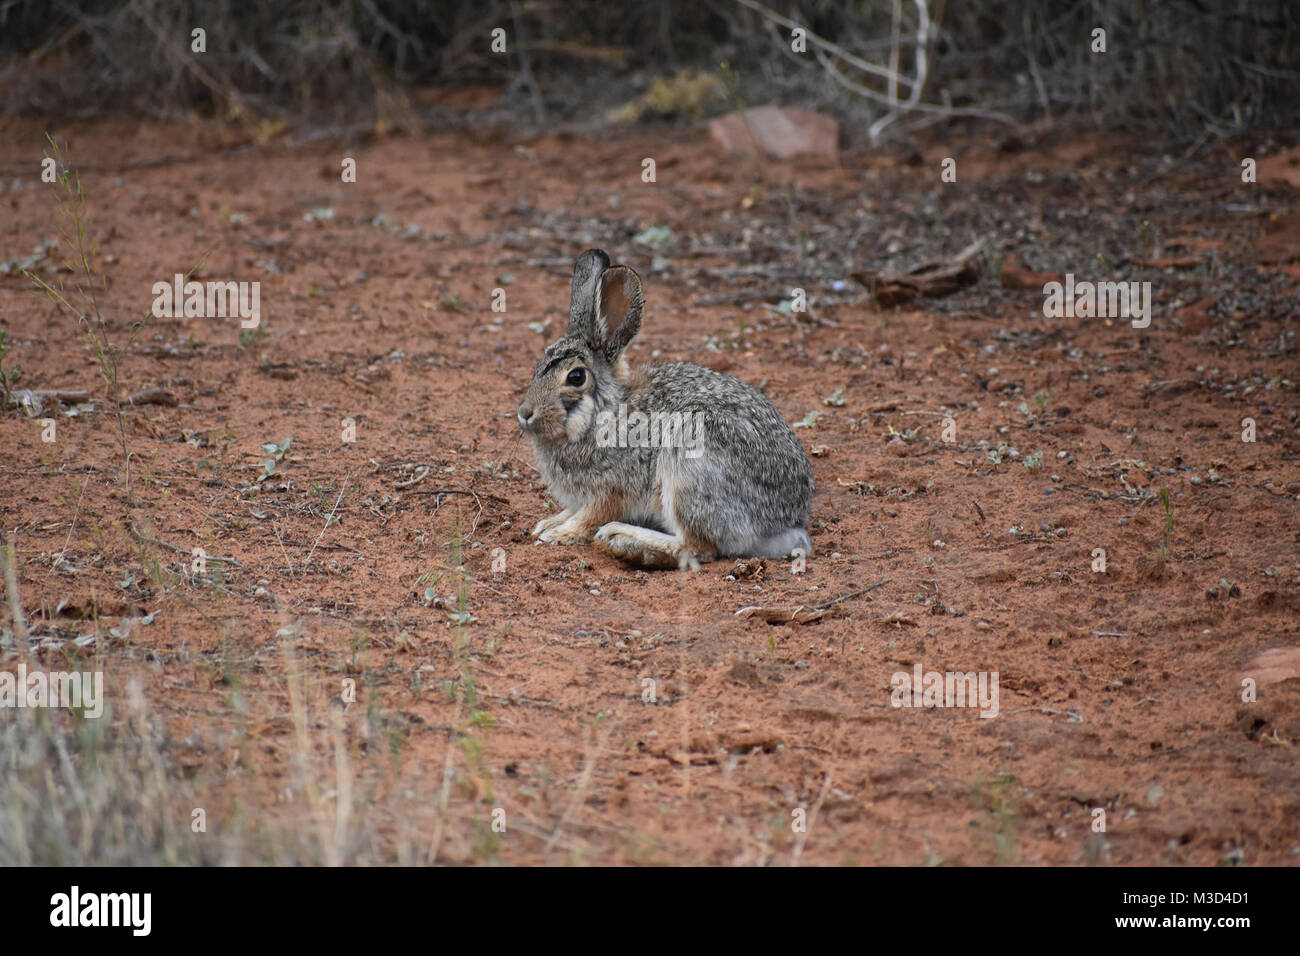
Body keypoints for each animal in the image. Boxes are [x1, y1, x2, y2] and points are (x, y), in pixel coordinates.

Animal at [516, 248, 813, 569]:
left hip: (687, 468)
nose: (525, 413)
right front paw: (547, 524)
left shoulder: (612, 490)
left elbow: (589, 517)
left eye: (575, 377)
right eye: (537, 366)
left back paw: (622, 539)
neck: (603, 413)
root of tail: (784, 523)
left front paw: (559, 534)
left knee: (697, 547)